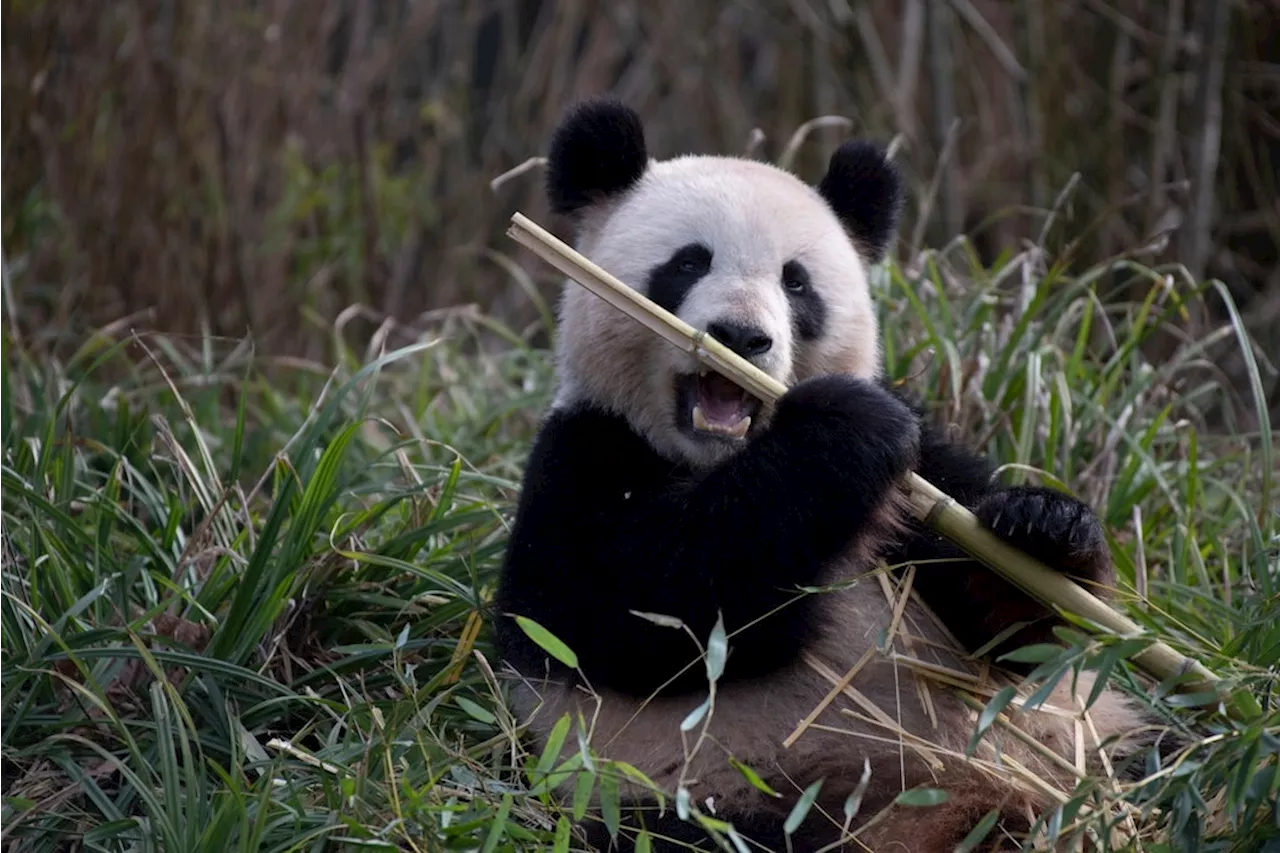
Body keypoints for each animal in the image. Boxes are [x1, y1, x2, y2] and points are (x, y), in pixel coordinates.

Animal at [491, 96, 1172, 845]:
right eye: (689, 262)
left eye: (796, 281)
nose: (741, 337)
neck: (720, 457)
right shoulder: (581, 456)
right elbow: (640, 608)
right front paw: (844, 426)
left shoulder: (926, 474)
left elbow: (1013, 639)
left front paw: (1043, 528)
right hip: (727, 798)